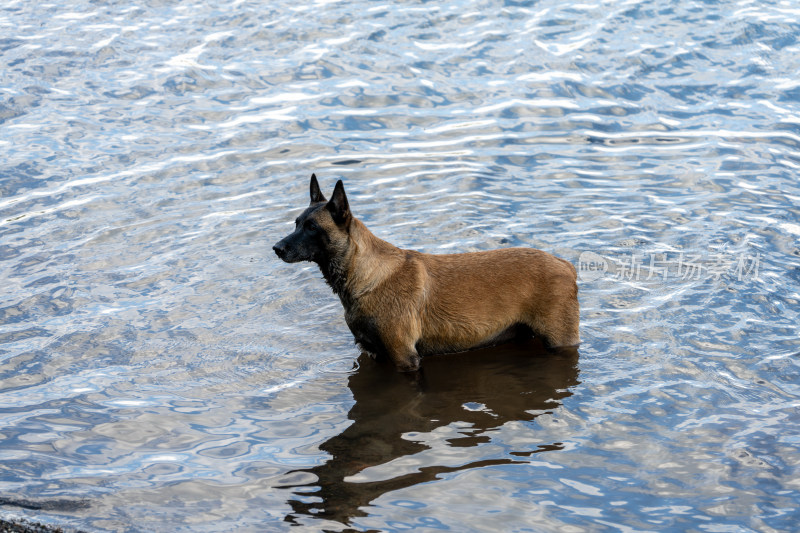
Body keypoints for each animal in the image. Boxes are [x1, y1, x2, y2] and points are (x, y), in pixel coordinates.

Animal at [272, 175, 580, 370]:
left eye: (312, 227)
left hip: (561, 340)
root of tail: (565, 264)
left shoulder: (404, 358)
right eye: (296, 223)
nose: (276, 248)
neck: (367, 277)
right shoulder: (374, 352)